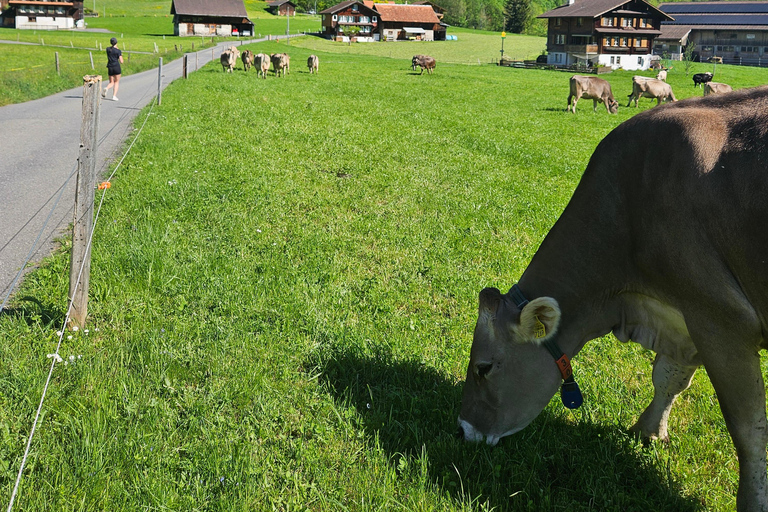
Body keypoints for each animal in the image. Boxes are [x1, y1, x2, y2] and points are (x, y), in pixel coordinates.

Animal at [456, 87, 768, 512]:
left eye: (483, 368)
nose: (462, 430)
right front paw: (647, 431)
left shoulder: (721, 319)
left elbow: (749, 430)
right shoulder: (686, 311)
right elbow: (669, 377)